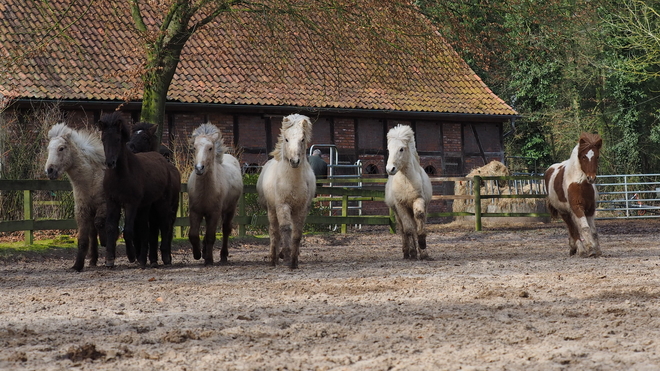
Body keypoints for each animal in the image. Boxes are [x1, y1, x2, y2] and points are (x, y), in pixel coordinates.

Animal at [45, 123, 107, 272]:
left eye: (61, 148)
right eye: (49, 149)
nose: (49, 170)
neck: (92, 179)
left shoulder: (104, 205)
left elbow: (100, 224)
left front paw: (106, 241)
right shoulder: (82, 211)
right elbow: (83, 240)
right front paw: (77, 265)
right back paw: (93, 260)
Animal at [96, 112, 180, 268]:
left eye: (118, 139)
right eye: (103, 138)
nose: (110, 162)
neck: (121, 175)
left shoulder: (132, 203)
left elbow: (129, 230)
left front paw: (133, 256)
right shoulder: (113, 202)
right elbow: (112, 227)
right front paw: (110, 259)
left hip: (164, 205)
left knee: (165, 226)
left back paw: (165, 257)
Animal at [187, 123, 244, 266]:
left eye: (210, 148)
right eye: (194, 147)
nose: (199, 168)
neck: (205, 191)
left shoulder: (214, 213)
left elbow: (210, 236)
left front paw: (208, 259)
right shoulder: (195, 211)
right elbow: (193, 234)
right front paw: (197, 254)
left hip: (229, 210)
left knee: (225, 230)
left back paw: (223, 255)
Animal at [256, 114, 316, 270]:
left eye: (302, 139)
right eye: (287, 139)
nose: (294, 161)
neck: (292, 181)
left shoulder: (301, 208)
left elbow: (297, 233)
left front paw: (294, 261)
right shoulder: (282, 205)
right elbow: (285, 229)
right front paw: (287, 256)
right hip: (272, 210)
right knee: (274, 232)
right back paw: (273, 258)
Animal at [384, 125, 436, 262]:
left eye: (401, 149)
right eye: (389, 149)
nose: (390, 169)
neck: (407, 181)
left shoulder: (418, 200)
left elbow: (419, 218)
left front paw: (423, 249)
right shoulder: (400, 206)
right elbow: (408, 229)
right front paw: (413, 253)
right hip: (397, 213)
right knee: (404, 230)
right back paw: (407, 252)